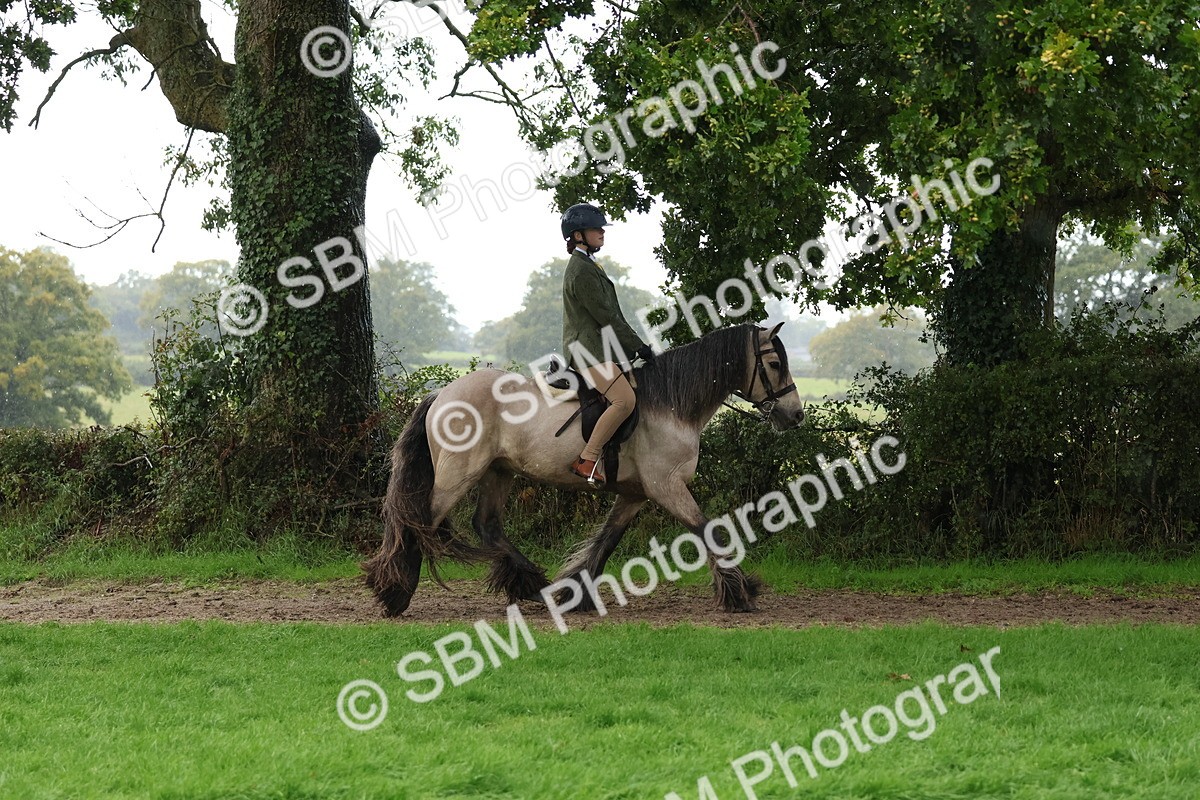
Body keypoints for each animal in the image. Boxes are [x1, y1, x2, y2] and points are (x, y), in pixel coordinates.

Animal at [362, 322, 805, 617]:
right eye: (773, 362)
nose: (795, 415)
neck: (671, 405)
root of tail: (441, 394)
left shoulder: (635, 494)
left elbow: (606, 542)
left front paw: (575, 594)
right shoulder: (666, 487)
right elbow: (707, 529)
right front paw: (740, 593)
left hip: (498, 472)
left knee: (485, 525)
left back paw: (534, 587)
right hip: (458, 474)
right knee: (420, 521)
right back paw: (395, 593)